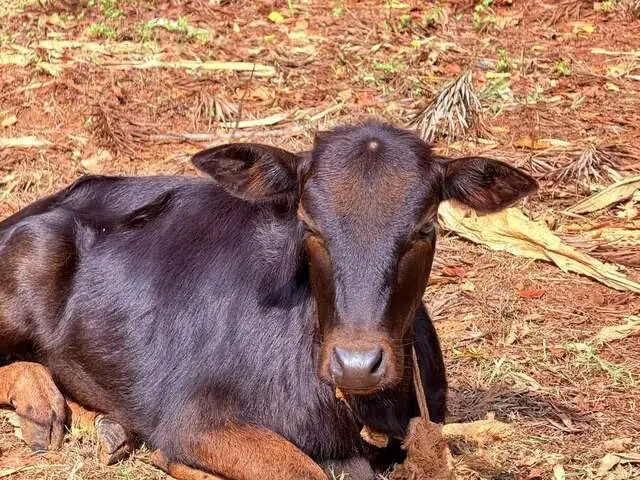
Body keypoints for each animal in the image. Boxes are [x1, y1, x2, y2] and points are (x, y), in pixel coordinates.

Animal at [0, 121, 537, 479]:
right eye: (309, 223)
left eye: (426, 225)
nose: (357, 363)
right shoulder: (196, 419)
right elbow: (304, 471)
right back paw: (40, 405)